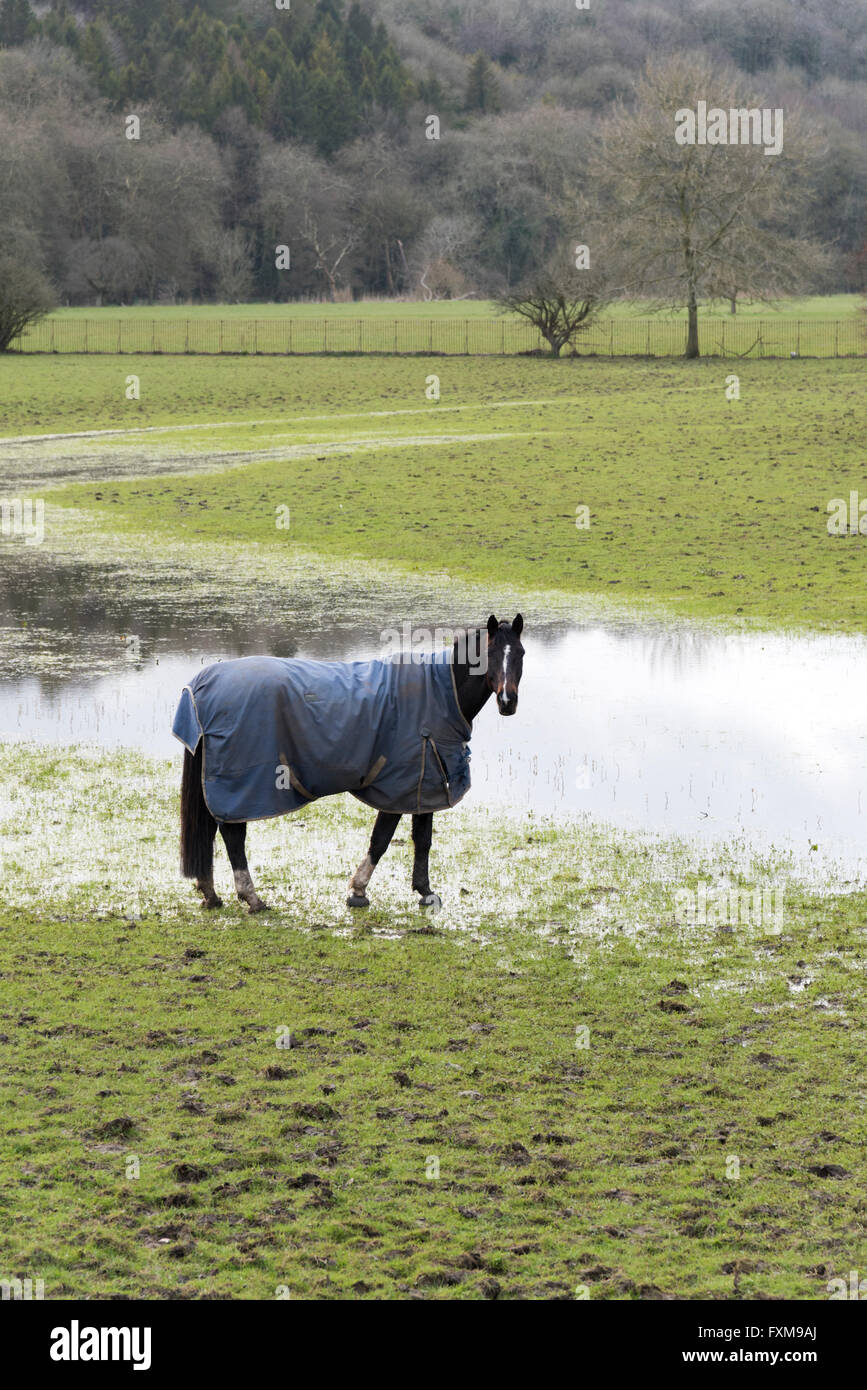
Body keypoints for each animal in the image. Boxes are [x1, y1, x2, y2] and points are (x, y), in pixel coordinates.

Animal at [176, 614, 524, 913]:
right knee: (233, 835)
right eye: (490, 654)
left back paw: (210, 892)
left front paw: (422, 891)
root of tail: (201, 688)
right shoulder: (406, 786)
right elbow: (384, 840)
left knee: (212, 830)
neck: (439, 693)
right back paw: (251, 897)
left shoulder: (422, 787)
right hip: (239, 789)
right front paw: (360, 890)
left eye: (519, 653)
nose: (508, 702)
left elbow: (420, 840)